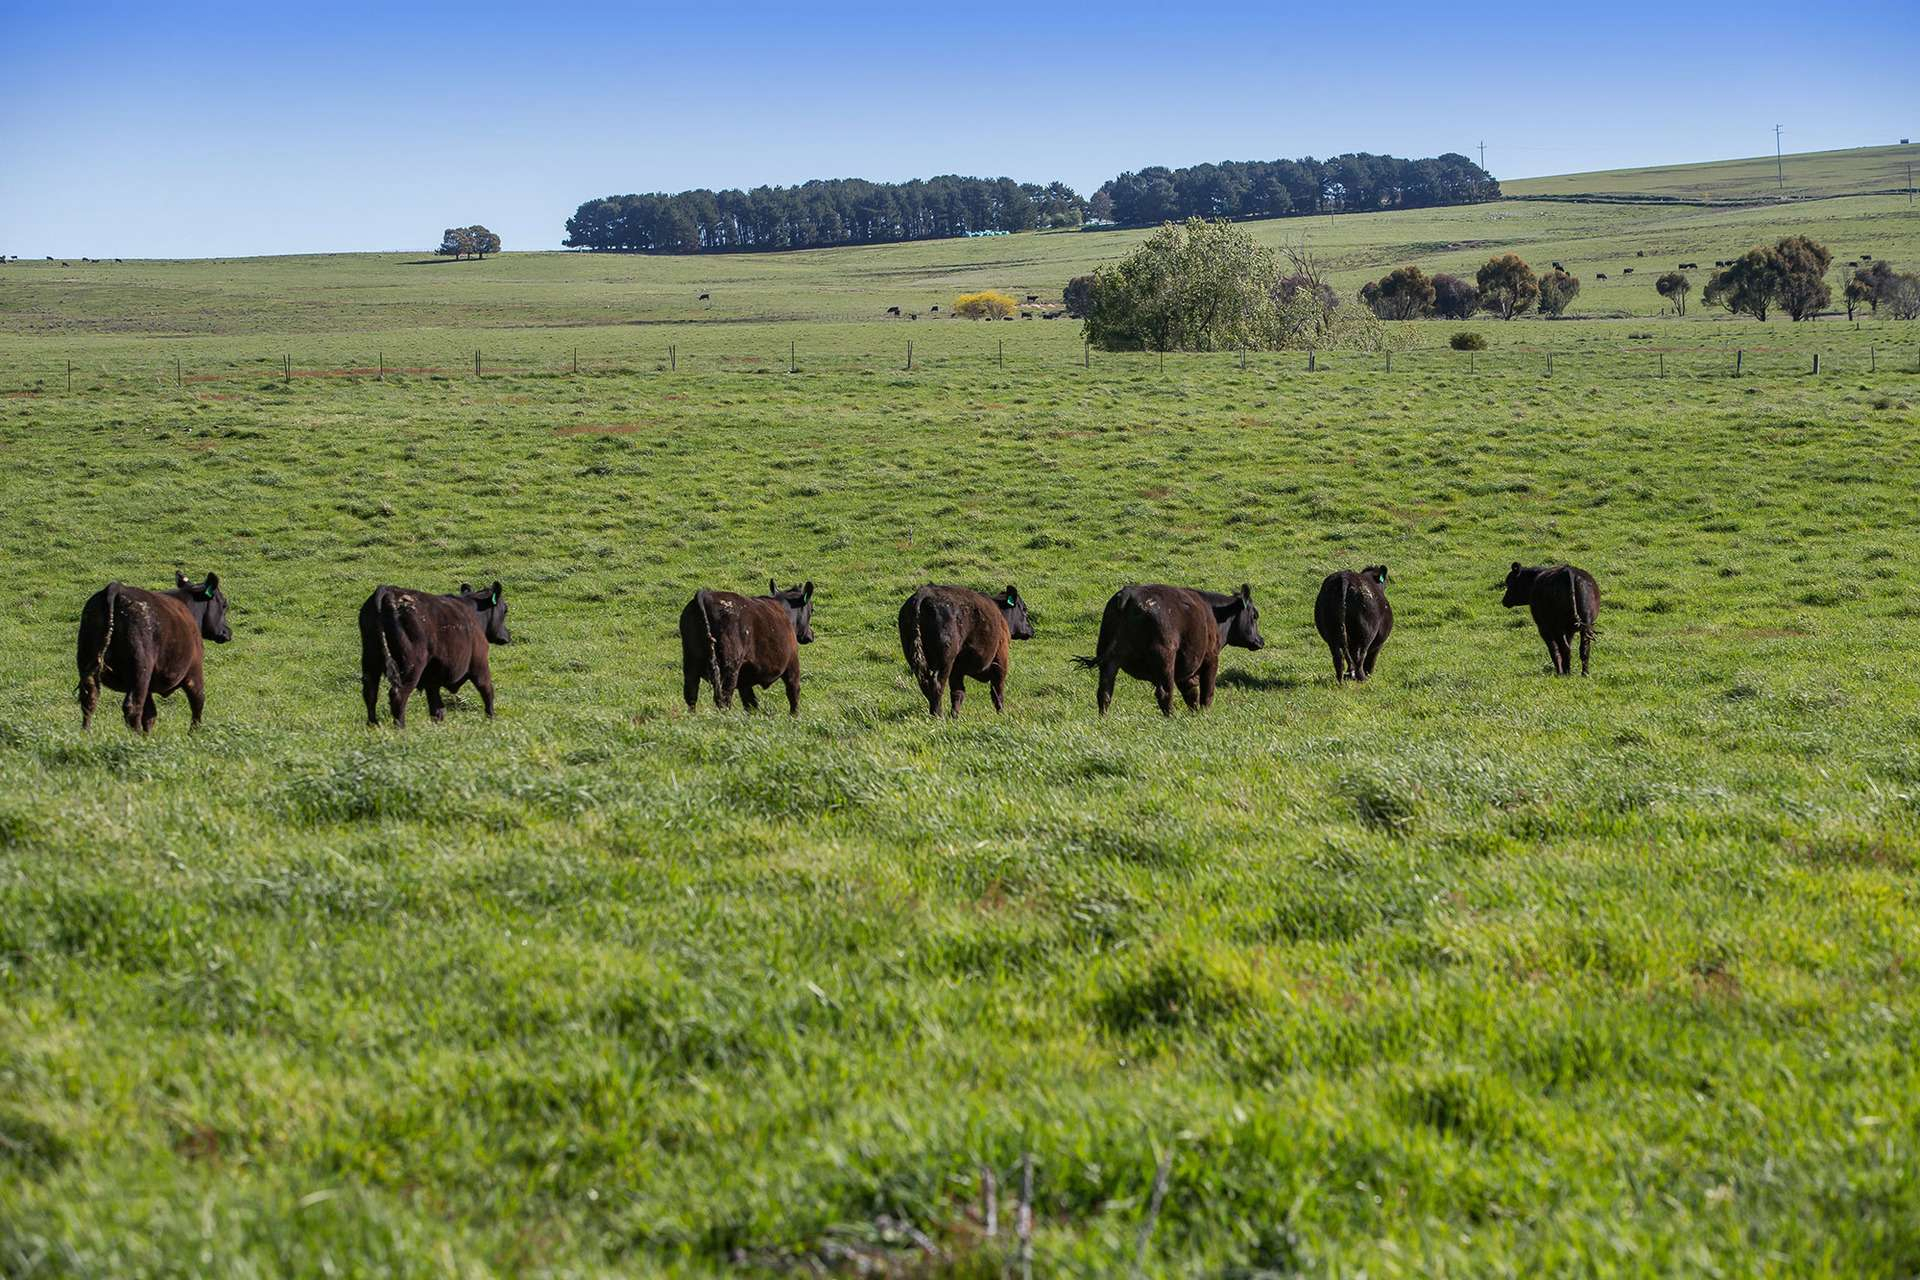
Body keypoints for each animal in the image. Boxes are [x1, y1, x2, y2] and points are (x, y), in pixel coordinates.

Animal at [75, 570, 232, 733]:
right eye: (224, 604)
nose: (227, 632)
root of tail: (116, 588)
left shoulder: (149, 686)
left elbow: (150, 715)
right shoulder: (194, 672)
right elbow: (198, 704)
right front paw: (193, 734)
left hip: (88, 661)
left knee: (89, 700)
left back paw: (86, 733)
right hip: (140, 670)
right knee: (133, 706)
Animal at [359, 581, 509, 727]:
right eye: (505, 609)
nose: (507, 635)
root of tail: (388, 590)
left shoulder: (432, 678)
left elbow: (437, 708)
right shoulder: (479, 663)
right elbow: (487, 691)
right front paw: (491, 718)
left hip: (370, 660)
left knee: (370, 692)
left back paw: (373, 724)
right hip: (412, 665)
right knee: (398, 695)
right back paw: (400, 727)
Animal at [680, 579, 815, 714]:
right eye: (812, 610)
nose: (811, 634)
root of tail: (706, 595)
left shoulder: (745, 678)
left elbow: (750, 703)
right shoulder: (792, 663)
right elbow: (793, 693)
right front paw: (794, 716)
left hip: (691, 664)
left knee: (691, 694)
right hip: (729, 667)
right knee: (724, 697)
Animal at [898, 584, 1032, 717]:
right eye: (1024, 609)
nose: (1031, 630)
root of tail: (925, 593)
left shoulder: (957, 669)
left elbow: (958, 692)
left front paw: (954, 716)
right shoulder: (1000, 659)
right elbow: (997, 691)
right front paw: (1002, 713)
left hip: (917, 660)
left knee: (926, 684)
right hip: (945, 660)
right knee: (937, 684)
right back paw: (938, 715)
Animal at [1073, 584, 1263, 715]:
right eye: (1254, 615)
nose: (1260, 640)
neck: (1214, 614)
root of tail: (1128, 594)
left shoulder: (1187, 671)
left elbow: (1191, 694)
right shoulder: (1211, 658)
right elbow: (1206, 693)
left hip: (1109, 659)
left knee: (1104, 692)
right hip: (1165, 657)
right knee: (1164, 693)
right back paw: (1171, 718)